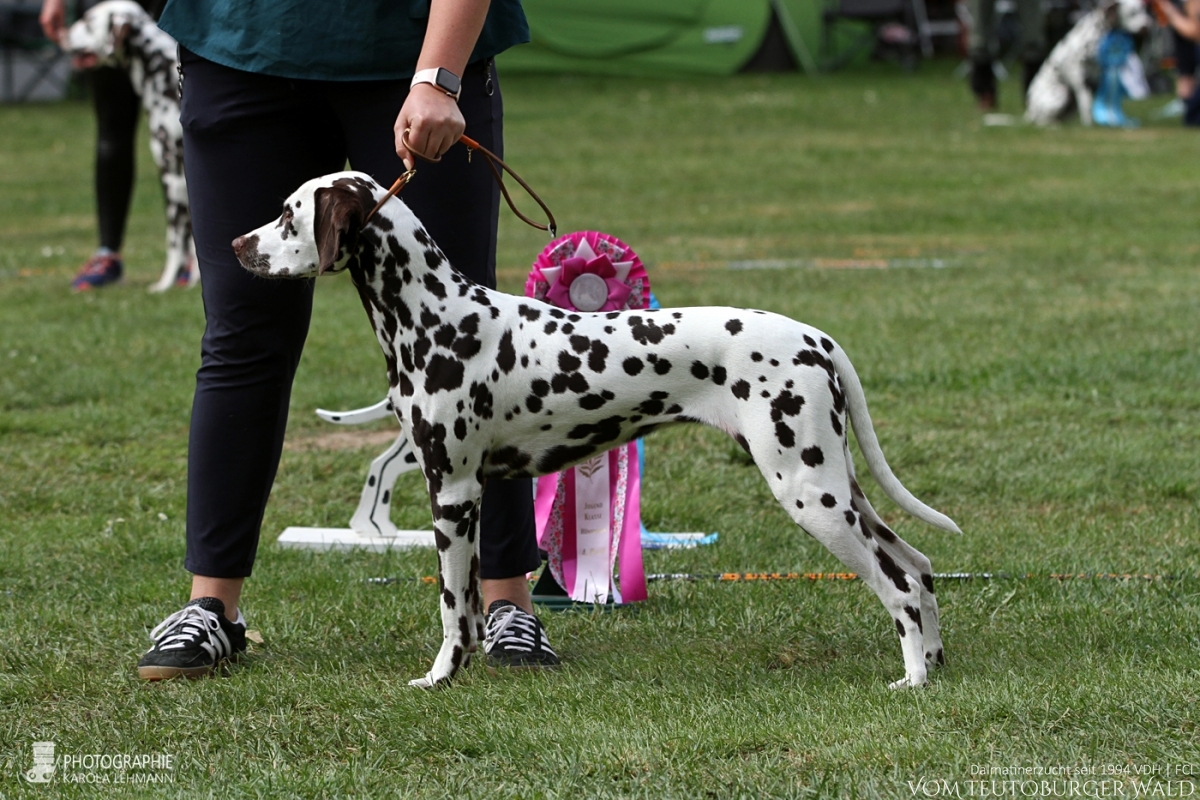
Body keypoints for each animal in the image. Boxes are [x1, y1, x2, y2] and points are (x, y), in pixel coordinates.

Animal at [64, 0, 195, 293]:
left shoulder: (172, 178)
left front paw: (166, 284)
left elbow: (175, 242)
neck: (164, 77)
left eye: (88, 20)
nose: (63, 34)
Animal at [231, 172, 964, 690]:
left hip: (810, 493)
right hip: (838, 487)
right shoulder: (465, 492)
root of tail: (816, 339)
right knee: (920, 567)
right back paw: (933, 661)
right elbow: (468, 605)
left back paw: (911, 679)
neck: (438, 317)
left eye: (289, 214)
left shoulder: (454, 492)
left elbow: (451, 606)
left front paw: (440, 676)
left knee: (899, 586)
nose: (236, 244)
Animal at [1022, 0, 1152, 125]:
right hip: (1061, 93)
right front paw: (1089, 124)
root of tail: (1029, 111)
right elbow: (1086, 104)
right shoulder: (1081, 79)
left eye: (1144, 11)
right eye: (1132, 13)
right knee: (1041, 120)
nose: (1146, 27)